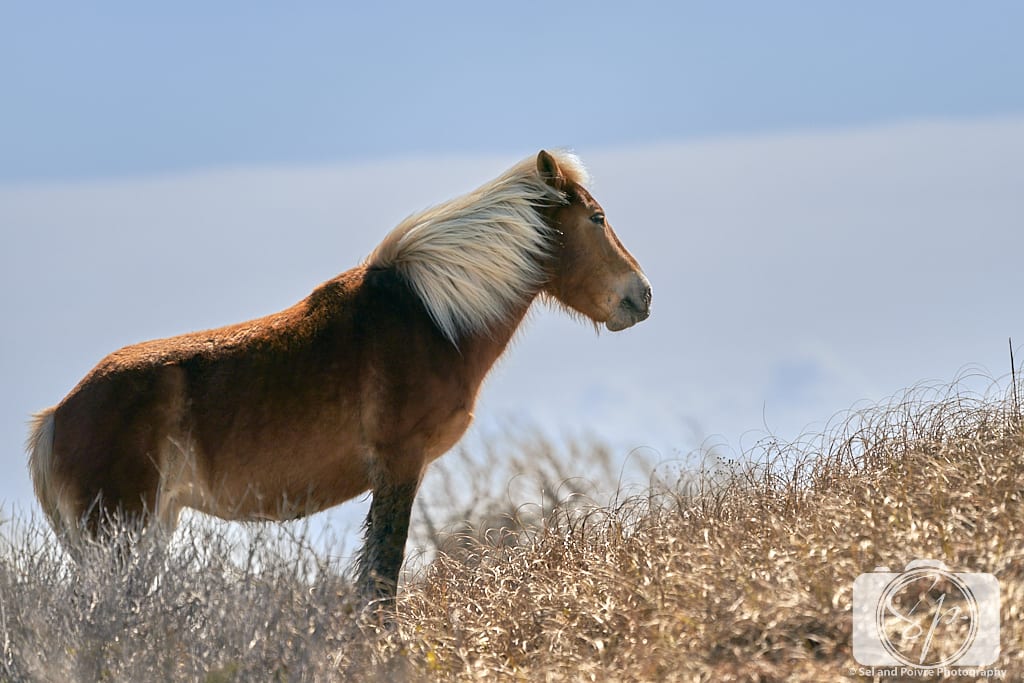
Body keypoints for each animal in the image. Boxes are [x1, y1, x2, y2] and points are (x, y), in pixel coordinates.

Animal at [26, 150, 652, 600]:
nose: (640, 295)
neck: (432, 318)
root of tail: (57, 415)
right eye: (596, 218)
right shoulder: (400, 465)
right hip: (120, 538)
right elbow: (382, 575)